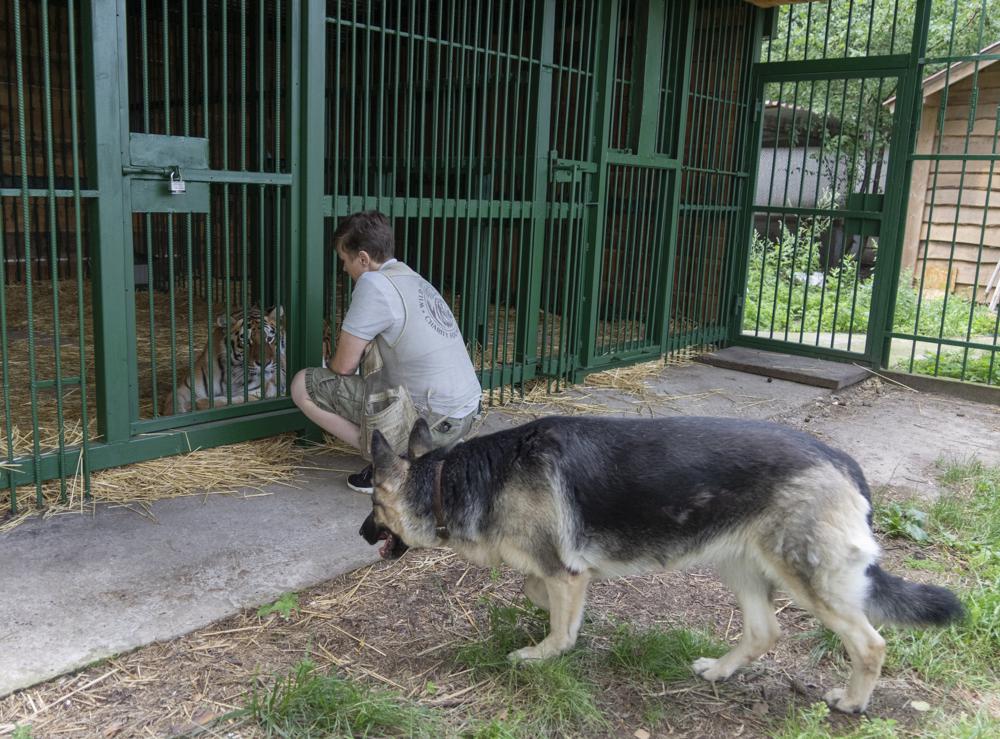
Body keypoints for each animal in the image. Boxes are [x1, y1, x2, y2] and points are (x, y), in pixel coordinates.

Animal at [360, 416, 960, 712]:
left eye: (374, 510)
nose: (364, 534)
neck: (453, 478)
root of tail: (840, 461)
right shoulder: (563, 573)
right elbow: (539, 592)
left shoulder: (563, 571)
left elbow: (555, 622)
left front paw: (544, 652)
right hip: (740, 566)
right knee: (764, 632)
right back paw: (720, 670)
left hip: (809, 582)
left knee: (871, 643)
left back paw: (852, 702)